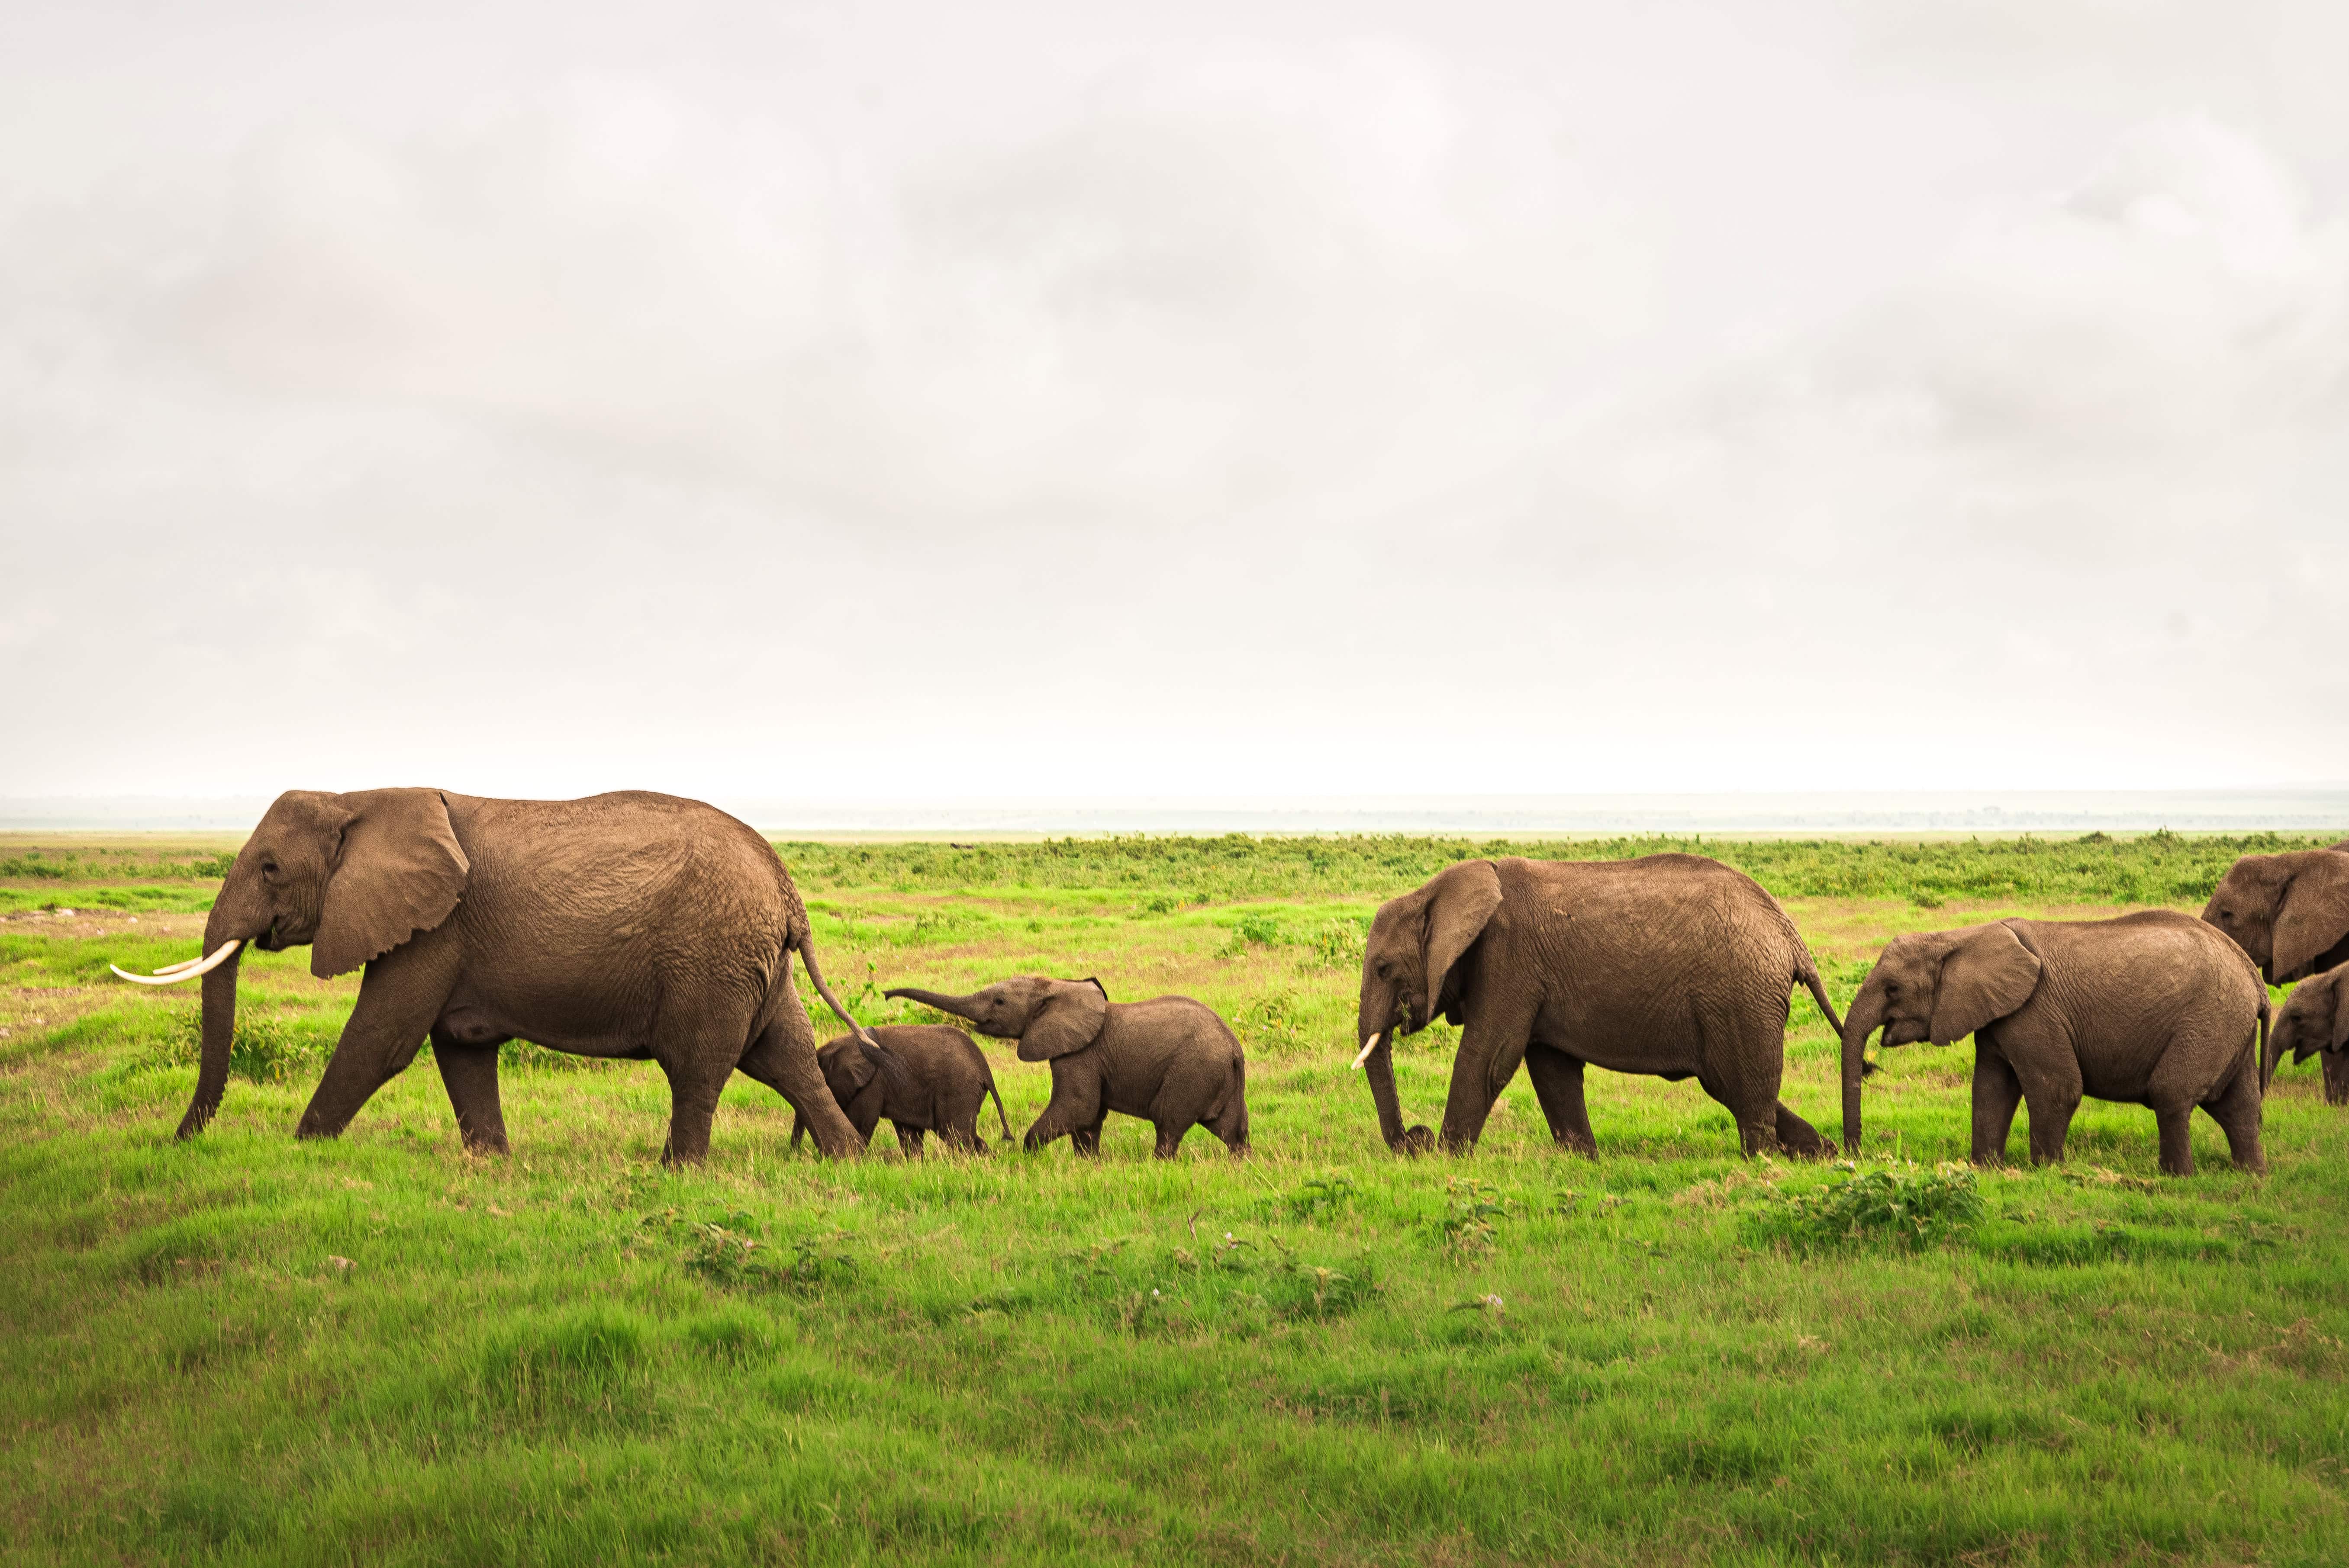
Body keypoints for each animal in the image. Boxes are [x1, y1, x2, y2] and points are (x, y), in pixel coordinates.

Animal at [110, 788, 888, 1162]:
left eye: (271, 868)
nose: (178, 1144)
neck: (359, 797)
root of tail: (786, 886)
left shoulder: (435, 926)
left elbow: (381, 1038)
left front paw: (300, 1151)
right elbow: (461, 1048)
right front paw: (493, 1161)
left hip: (711, 956)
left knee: (698, 1067)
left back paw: (676, 1172)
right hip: (755, 962)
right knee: (785, 1056)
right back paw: (848, 1163)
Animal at [789, 1024, 1013, 1155]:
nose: (795, 1154)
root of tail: (985, 1070)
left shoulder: (873, 1083)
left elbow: (861, 1122)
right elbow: (908, 1131)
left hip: (960, 1088)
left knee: (955, 1135)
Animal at [883, 977, 1249, 1157]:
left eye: (999, 1002)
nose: (886, 994)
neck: (1057, 988)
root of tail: (1234, 1047)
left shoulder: (1078, 1054)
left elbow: (1079, 1107)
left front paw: (1029, 1156)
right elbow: (1088, 1118)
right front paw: (1088, 1163)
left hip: (1191, 1071)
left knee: (1169, 1122)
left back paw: (1159, 1163)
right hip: (1217, 1076)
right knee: (1231, 1127)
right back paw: (1240, 1161)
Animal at [1352, 855, 1846, 1159]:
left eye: (1382, 968)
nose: (1415, 1138)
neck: (1435, 892)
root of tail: (1792, 936)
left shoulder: (1508, 959)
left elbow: (1489, 1058)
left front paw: (1447, 1158)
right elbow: (1551, 1068)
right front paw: (1582, 1160)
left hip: (1741, 995)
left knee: (1738, 1084)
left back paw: (1762, 1160)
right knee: (1729, 1084)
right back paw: (1819, 1153)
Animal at [1837, 911, 2271, 1174]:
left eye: (1893, 989)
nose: (1856, 1155)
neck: (1962, 936)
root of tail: (2253, 976)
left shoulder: (2034, 1011)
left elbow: (2057, 1089)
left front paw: (2044, 1171)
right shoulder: (1999, 1015)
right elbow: (1990, 1089)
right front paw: (1985, 1169)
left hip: (2208, 1018)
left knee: (2171, 1093)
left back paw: (2174, 1177)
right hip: (2228, 1025)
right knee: (2239, 1106)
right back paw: (2249, 1175)